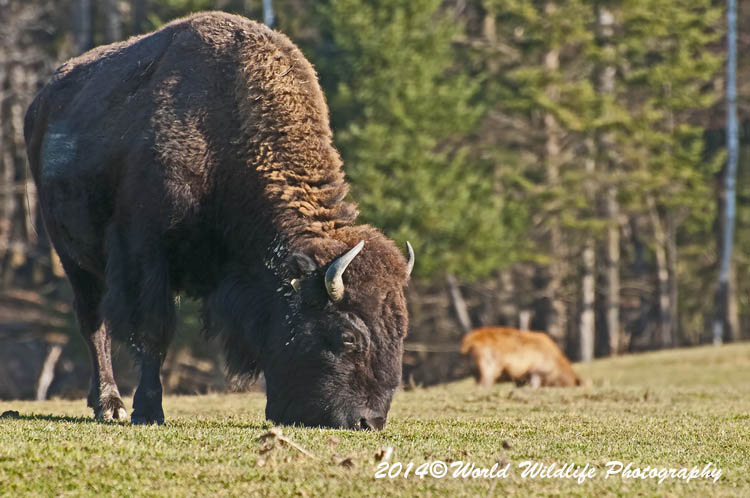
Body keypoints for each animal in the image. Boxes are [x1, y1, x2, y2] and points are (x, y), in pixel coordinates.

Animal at [24, 12, 414, 430]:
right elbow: (153, 332)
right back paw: (110, 404)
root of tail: (41, 104)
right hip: (72, 258)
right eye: (346, 337)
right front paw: (149, 410)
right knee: (94, 324)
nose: (368, 421)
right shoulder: (147, 254)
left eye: (400, 332)